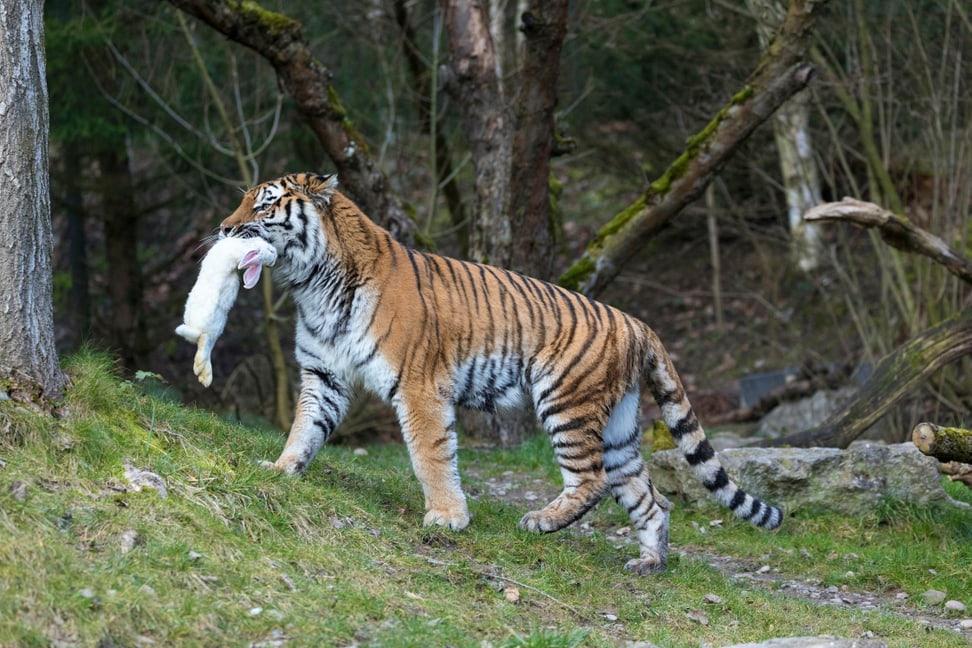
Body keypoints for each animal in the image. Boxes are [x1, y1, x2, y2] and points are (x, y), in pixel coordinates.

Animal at [220, 171, 784, 572]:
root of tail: (637, 322)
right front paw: (281, 469)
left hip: (566, 401)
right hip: (620, 425)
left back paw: (540, 522)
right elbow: (304, 428)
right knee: (649, 497)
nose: (223, 229)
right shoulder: (325, 376)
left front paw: (446, 518)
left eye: (264, 203)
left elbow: (430, 454)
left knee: (593, 480)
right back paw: (649, 562)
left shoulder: (420, 387)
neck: (313, 285)